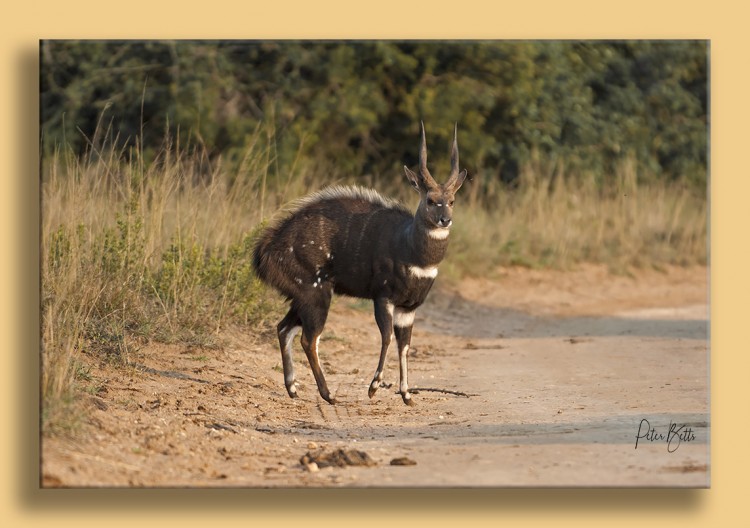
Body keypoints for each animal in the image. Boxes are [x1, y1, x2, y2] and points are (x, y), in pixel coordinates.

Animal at [256, 122, 468, 404]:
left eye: (452, 201)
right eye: (430, 200)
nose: (445, 219)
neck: (411, 250)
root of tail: (265, 250)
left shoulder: (408, 308)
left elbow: (405, 346)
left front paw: (407, 395)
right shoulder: (383, 297)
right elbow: (387, 337)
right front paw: (373, 387)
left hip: (301, 297)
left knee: (283, 328)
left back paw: (292, 388)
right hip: (316, 293)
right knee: (308, 339)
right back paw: (328, 395)